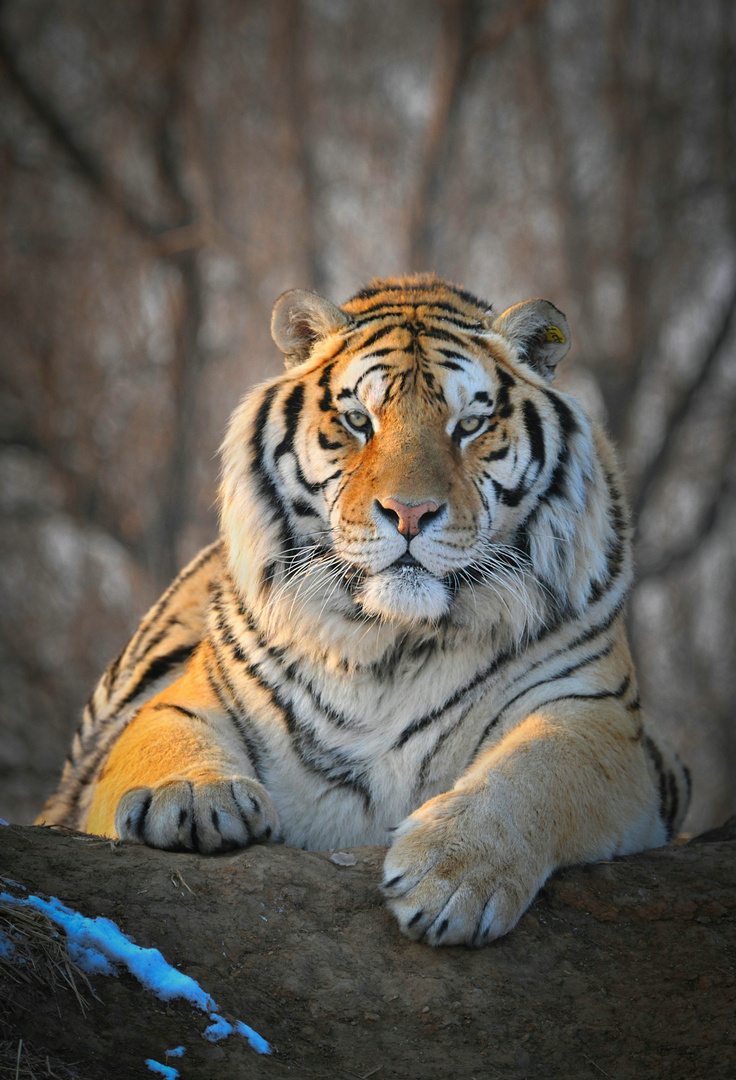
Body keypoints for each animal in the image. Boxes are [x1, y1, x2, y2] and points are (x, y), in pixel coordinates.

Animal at [34, 276, 687, 946]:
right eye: (357, 421)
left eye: (470, 425)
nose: (410, 513)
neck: (392, 645)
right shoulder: (194, 695)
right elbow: (166, 733)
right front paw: (188, 798)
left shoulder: (593, 712)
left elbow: (536, 773)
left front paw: (451, 876)